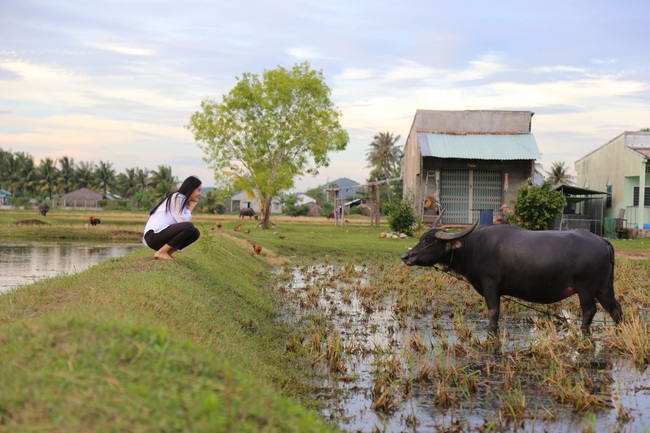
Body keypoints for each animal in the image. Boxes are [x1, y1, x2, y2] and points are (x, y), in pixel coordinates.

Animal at [400, 219, 624, 334]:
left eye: (428, 240)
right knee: (615, 308)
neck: (474, 248)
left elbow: (493, 312)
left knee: (590, 311)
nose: (405, 257)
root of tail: (601, 240)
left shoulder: (490, 284)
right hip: (604, 287)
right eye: (421, 238)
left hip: (586, 289)